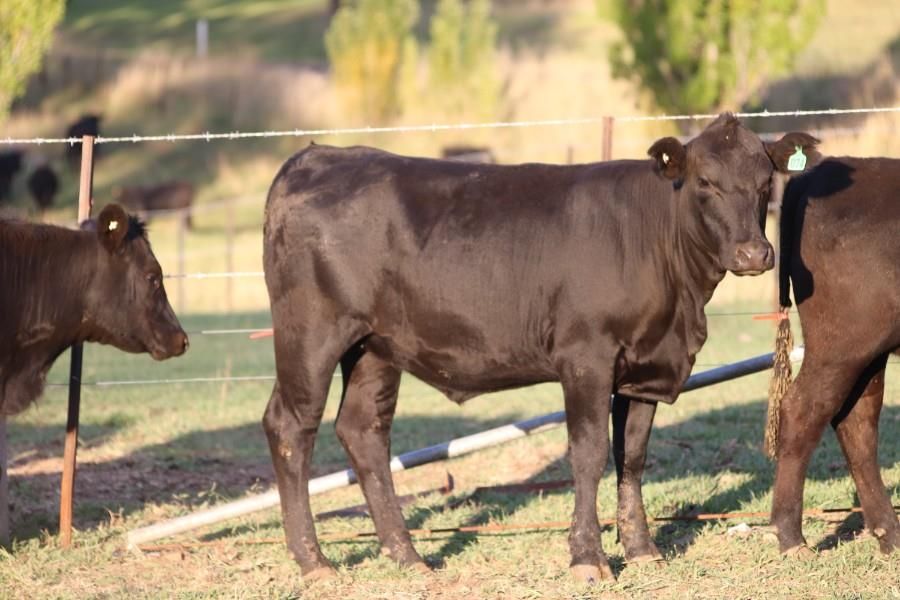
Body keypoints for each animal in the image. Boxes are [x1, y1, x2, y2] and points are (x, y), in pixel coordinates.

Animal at [261, 114, 818, 583]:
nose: (754, 253)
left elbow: (633, 456)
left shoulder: (646, 365)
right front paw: (589, 559)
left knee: (364, 432)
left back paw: (407, 554)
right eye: (705, 182)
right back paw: (315, 562)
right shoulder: (586, 357)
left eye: (765, 182)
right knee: (291, 427)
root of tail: (314, 157)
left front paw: (642, 550)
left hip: (375, 347)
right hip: (310, 333)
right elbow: (589, 453)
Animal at [767, 157, 900, 557]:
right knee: (802, 410)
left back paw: (889, 533)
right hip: (841, 346)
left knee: (857, 424)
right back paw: (791, 537)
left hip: (868, 353)